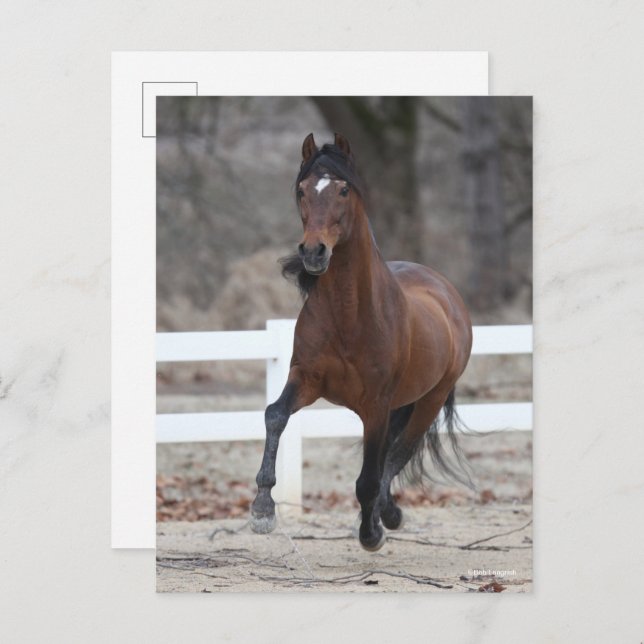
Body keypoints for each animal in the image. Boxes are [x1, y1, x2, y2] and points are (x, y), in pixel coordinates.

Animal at [250, 132, 473, 551]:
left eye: (342, 189)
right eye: (302, 190)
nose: (313, 252)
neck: (349, 316)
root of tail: (446, 293)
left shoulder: (376, 404)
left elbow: (370, 474)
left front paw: (371, 534)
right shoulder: (306, 379)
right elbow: (275, 415)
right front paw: (262, 509)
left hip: (429, 401)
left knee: (399, 452)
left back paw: (387, 516)